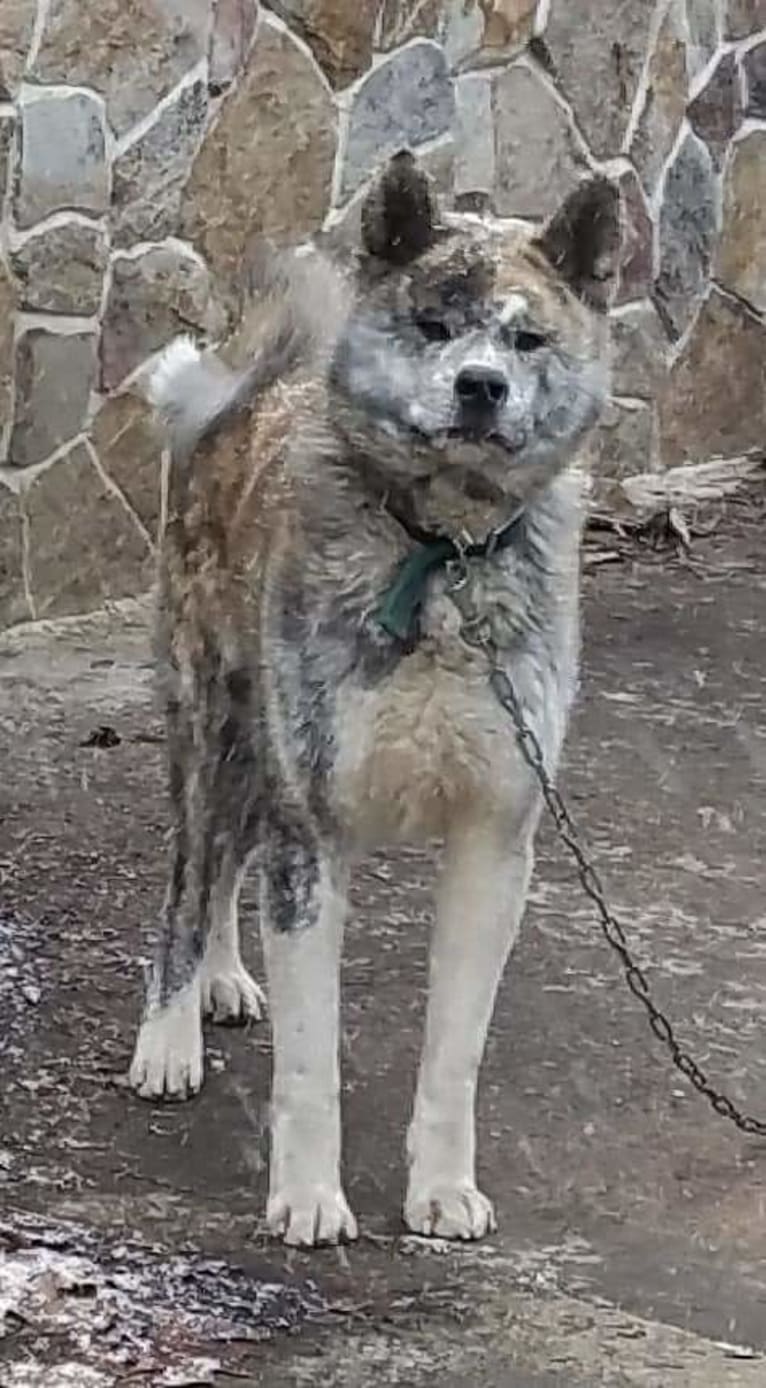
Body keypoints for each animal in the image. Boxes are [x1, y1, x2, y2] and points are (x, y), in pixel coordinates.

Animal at [130, 151, 621, 1249]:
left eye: (526, 338)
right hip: (214, 729)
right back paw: (171, 1032)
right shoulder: (314, 827)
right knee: (191, 877)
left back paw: (225, 974)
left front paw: (441, 1190)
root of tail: (253, 390)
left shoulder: (494, 842)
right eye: (434, 324)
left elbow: (454, 1055)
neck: (440, 551)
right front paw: (309, 1198)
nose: (481, 386)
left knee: (229, 868)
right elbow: (312, 1061)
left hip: (257, 755)